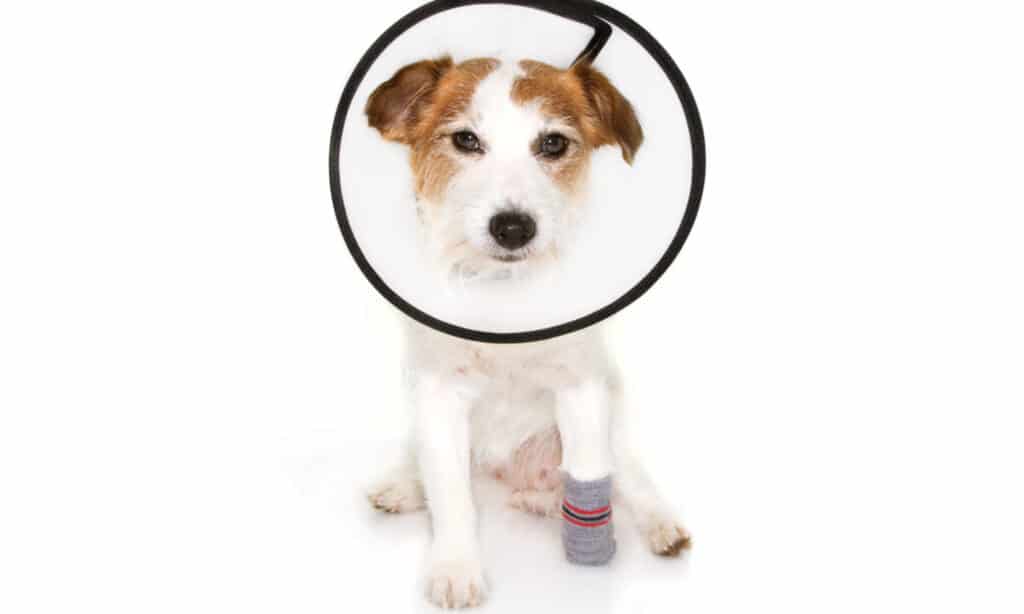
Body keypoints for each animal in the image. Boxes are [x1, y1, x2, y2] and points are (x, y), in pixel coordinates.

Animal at [360, 53, 688, 609]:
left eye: (552, 143)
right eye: (466, 140)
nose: (513, 228)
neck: (505, 297)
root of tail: (515, 476)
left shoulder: (581, 387)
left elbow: (593, 473)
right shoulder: (438, 395)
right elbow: (449, 491)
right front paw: (456, 567)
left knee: (632, 479)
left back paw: (658, 523)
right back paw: (407, 487)